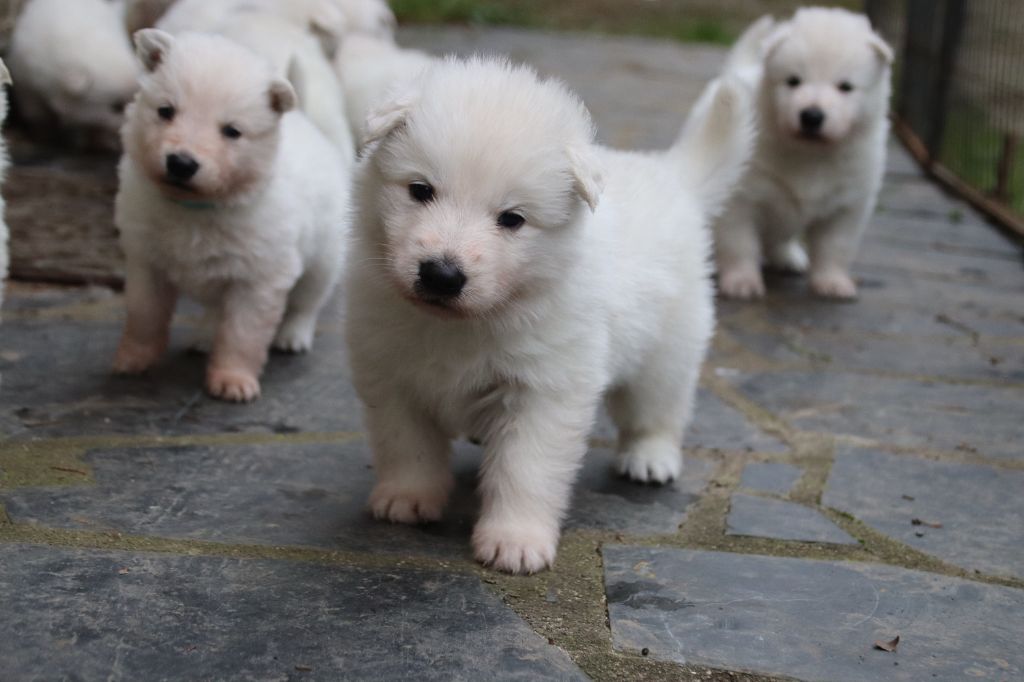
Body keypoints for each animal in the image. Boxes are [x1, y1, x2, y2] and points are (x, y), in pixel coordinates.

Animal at [114, 31, 350, 401]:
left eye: (232, 131)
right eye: (166, 111)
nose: (181, 163)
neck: (196, 207)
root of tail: (307, 121)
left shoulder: (259, 278)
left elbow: (242, 334)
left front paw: (232, 380)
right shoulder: (146, 260)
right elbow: (144, 314)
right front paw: (134, 358)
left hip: (323, 259)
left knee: (308, 301)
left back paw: (293, 336)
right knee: (215, 307)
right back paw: (205, 335)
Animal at [346, 55, 753, 569]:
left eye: (512, 219)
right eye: (420, 190)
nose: (441, 275)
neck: (470, 322)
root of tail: (670, 175)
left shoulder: (544, 389)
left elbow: (525, 468)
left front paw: (515, 540)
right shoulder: (390, 372)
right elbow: (406, 443)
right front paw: (408, 497)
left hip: (668, 349)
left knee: (659, 407)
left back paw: (650, 457)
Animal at [716, 5, 892, 296]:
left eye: (845, 86)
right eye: (793, 81)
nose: (811, 116)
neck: (810, 154)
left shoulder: (848, 206)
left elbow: (836, 247)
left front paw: (832, 282)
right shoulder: (740, 201)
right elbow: (740, 242)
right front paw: (742, 281)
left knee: (779, 239)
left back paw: (789, 258)